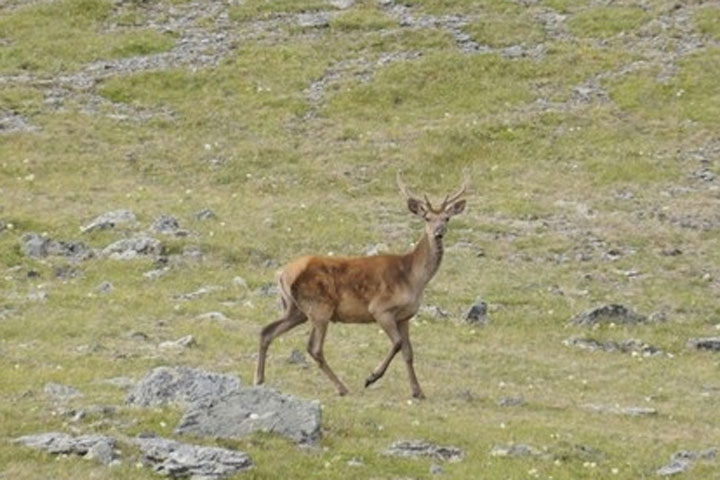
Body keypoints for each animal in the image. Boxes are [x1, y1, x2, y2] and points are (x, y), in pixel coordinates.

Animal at [253, 172, 466, 398]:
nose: (439, 232)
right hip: (320, 307)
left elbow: (409, 353)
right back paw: (342, 388)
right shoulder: (381, 309)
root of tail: (282, 273)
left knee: (266, 331)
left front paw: (418, 392)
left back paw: (259, 379)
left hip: (295, 310)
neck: (413, 277)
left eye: (447, 218)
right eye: (427, 218)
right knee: (314, 348)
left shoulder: (405, 316)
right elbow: (398, 344)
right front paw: (371, 377)